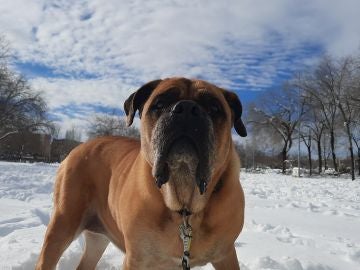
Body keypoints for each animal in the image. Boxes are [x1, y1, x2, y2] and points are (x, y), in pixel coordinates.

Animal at [35, 77, 248, 268]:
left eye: (214, 108)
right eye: (159, 104)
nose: (187, 108)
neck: (184, 206)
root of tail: (79, 147)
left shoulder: (226, 255)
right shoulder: (137, 258)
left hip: (97, 238)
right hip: (62, 224)